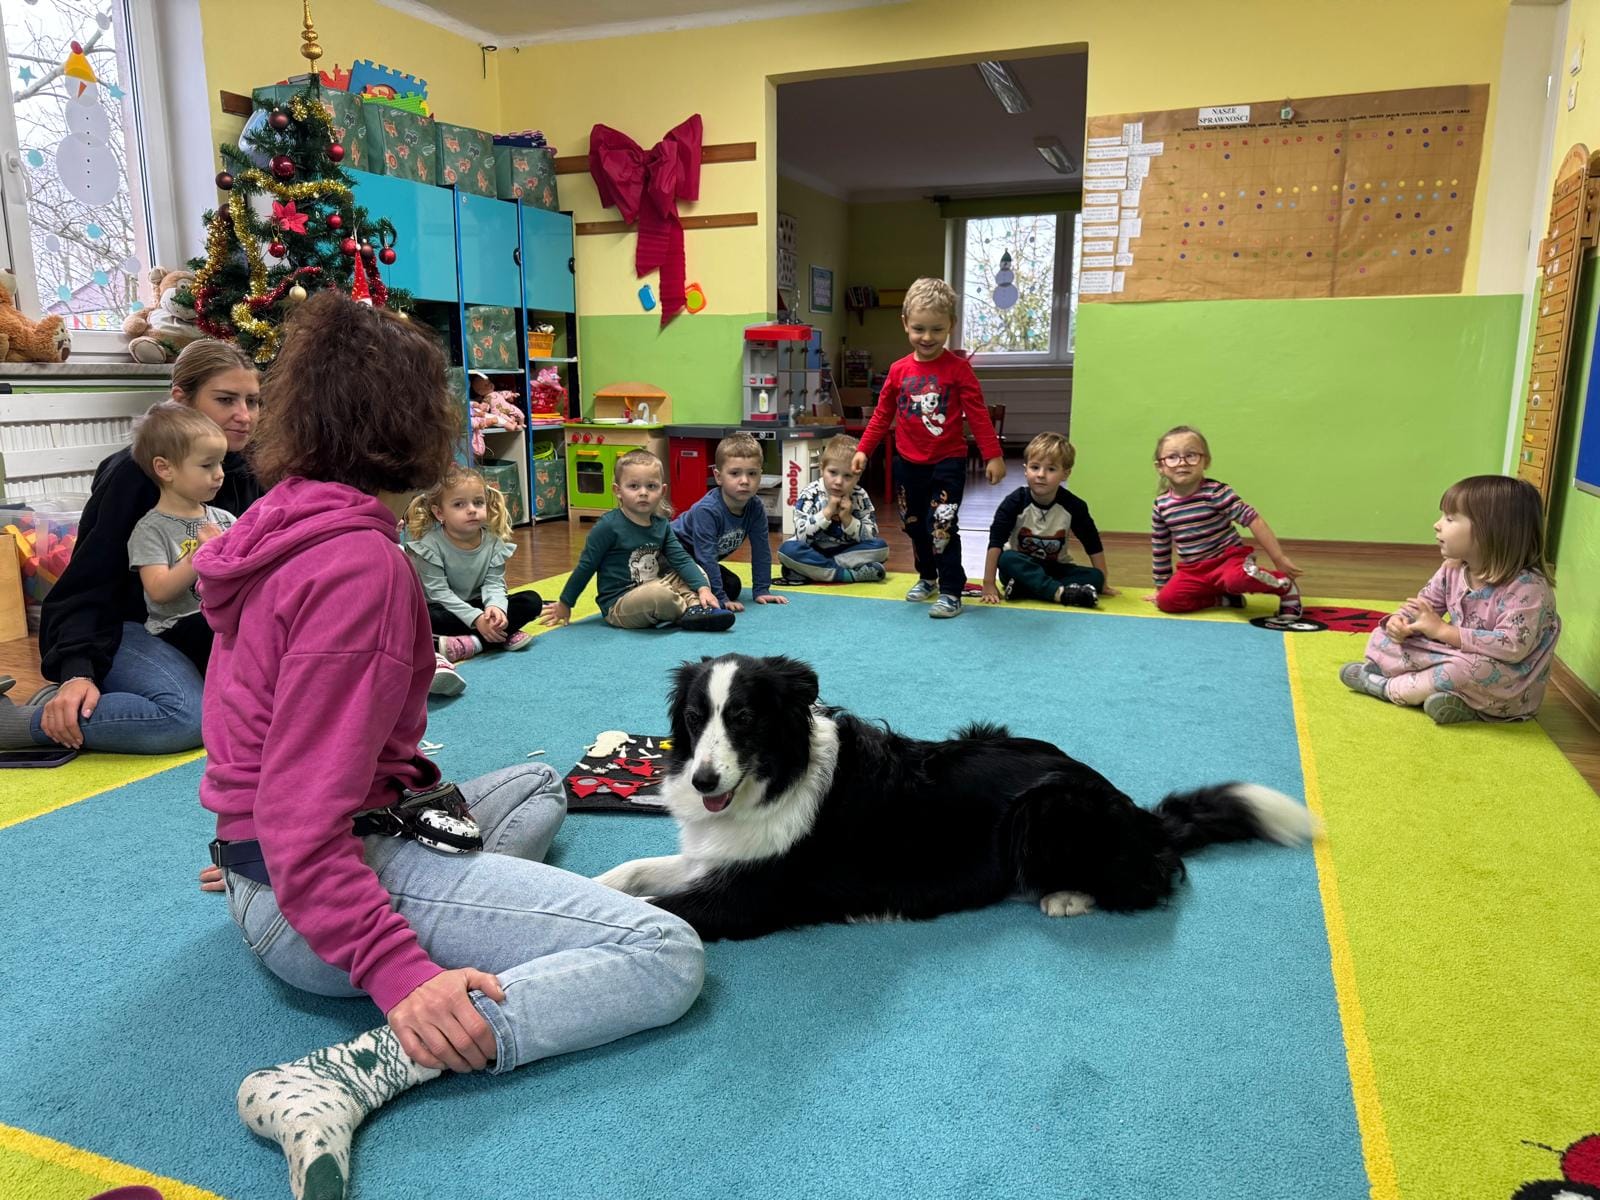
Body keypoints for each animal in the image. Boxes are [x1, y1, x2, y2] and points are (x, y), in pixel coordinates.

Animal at [595, 659, 1318, 940]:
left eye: (744, 719)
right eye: (696, 719)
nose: (702, 782)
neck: (776, 778)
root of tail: (1136, 811)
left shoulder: (750, 891)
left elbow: (664, 911)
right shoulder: (714, 858)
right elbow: (628, 876)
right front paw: (582, 889)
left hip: (1047, 809)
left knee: (1152, 880)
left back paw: (1066, 895)